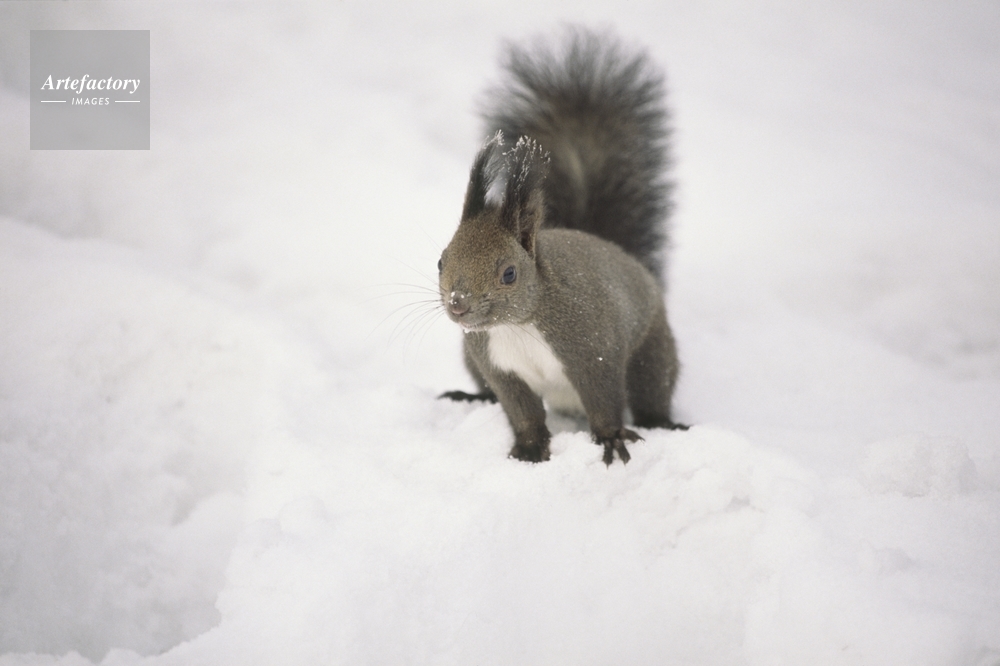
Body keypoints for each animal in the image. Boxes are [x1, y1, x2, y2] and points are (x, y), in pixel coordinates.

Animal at [438, 28, 685, 465]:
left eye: (509, 273)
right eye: (440, 261)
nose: (458, 304)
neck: (517, 325)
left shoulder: (592, 350)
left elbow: (603, 401)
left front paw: (611, 438)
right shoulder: (498, 367)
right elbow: (522, 412)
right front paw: (529, 448)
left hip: (651, 354)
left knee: (651, 393)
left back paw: (666, 424)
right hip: (471, 362)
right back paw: (470, 397)